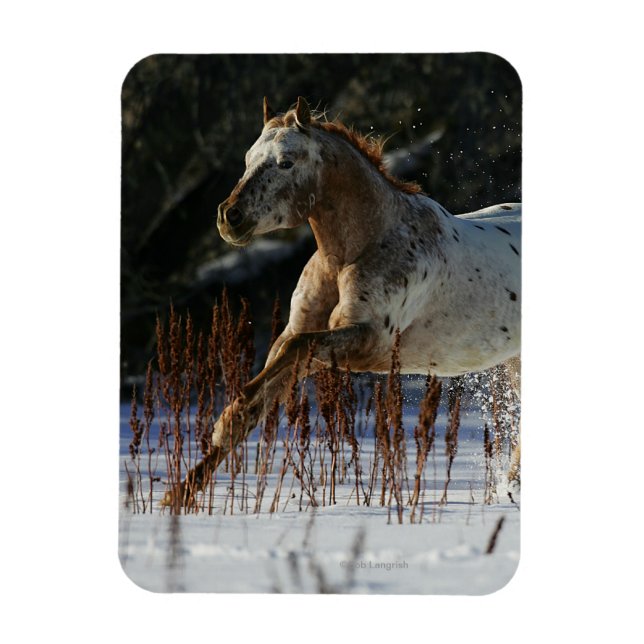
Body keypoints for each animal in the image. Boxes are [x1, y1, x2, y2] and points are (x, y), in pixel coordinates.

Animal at [162, 96, 521, 508]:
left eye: (287, 161)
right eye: (248, 158)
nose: (229, 218)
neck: (356, 250)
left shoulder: (366, 343)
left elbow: (291, 356)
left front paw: (236, 404)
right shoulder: (301, 336)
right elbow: (261, 396)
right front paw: (177, 496)